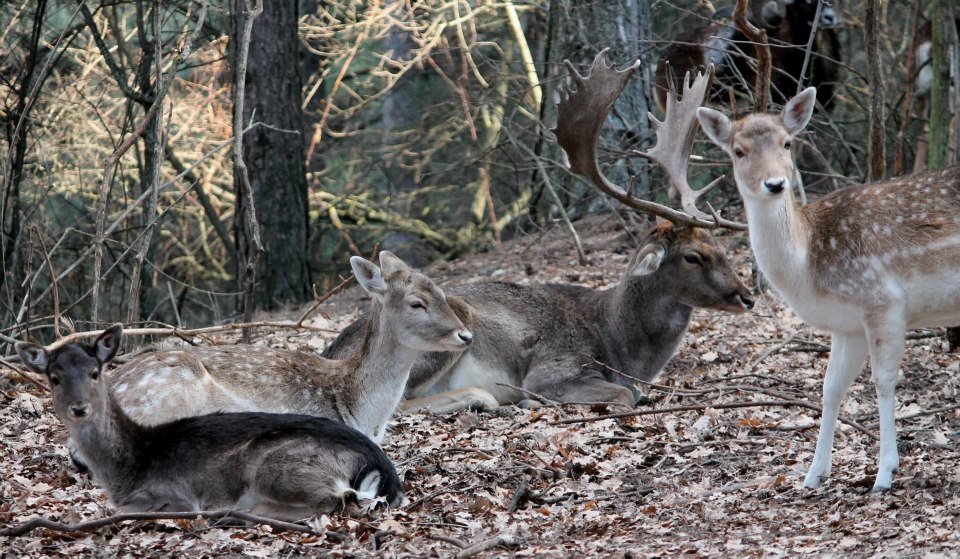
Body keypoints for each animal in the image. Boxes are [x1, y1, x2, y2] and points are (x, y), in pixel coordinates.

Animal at [16, 326, 404, 524]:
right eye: (53, 377)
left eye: (95, 372)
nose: (79, 407)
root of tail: (382, 468)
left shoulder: (168, 496)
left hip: (278, 465)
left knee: (337, 498)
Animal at [322, 52, 756, 416]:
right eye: (692, 256)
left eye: (717, 244)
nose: (747, 296)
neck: (621, 349)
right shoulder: (554, 367)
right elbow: (623, 394)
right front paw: (536, 401)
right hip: (444, 332)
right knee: (395, 402)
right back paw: (488, 399)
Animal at [692, 85, 960, 492]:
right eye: (738, 151)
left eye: (787, 143)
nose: (775, 183)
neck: (807, 269)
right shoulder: (847, 326)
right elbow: (830, 387)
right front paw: (813, 474)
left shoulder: (882, 299)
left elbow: (883, 381)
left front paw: (884, 474)